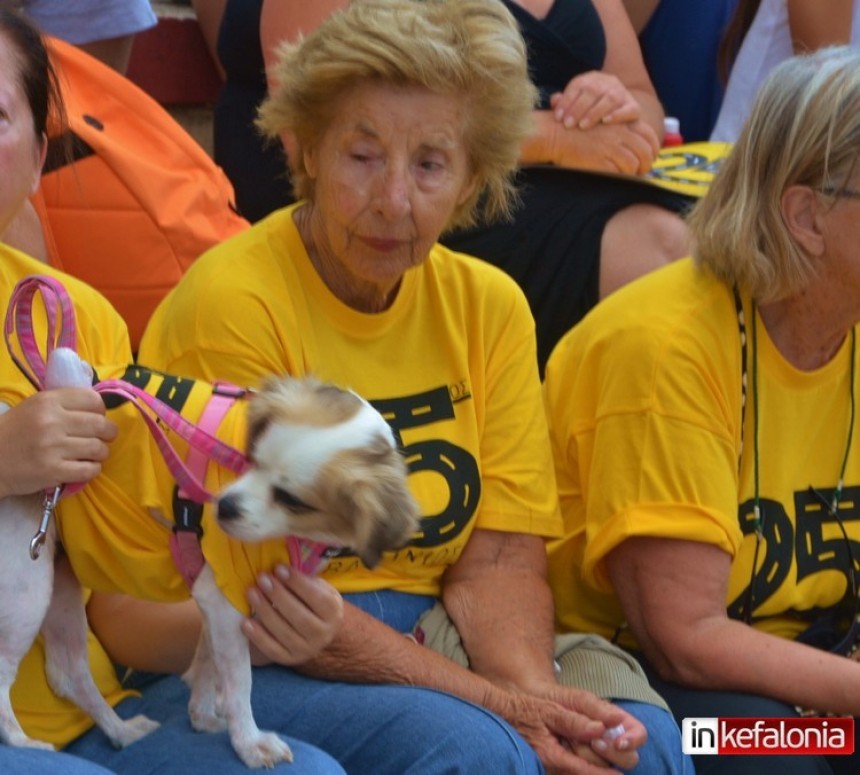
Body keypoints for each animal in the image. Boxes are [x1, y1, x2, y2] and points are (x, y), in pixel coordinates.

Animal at [0, 352, 420, 768]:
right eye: (252, 458)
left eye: (293, 500)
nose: (223, 508)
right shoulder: (225, 600)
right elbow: (238, 682)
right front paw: (249, 742)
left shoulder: (213, 594)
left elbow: (207, 663)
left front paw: (202, 717)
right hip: (26, 590)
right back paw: (22, 742)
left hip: (59, 585)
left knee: (69, 674)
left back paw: (121, 731)